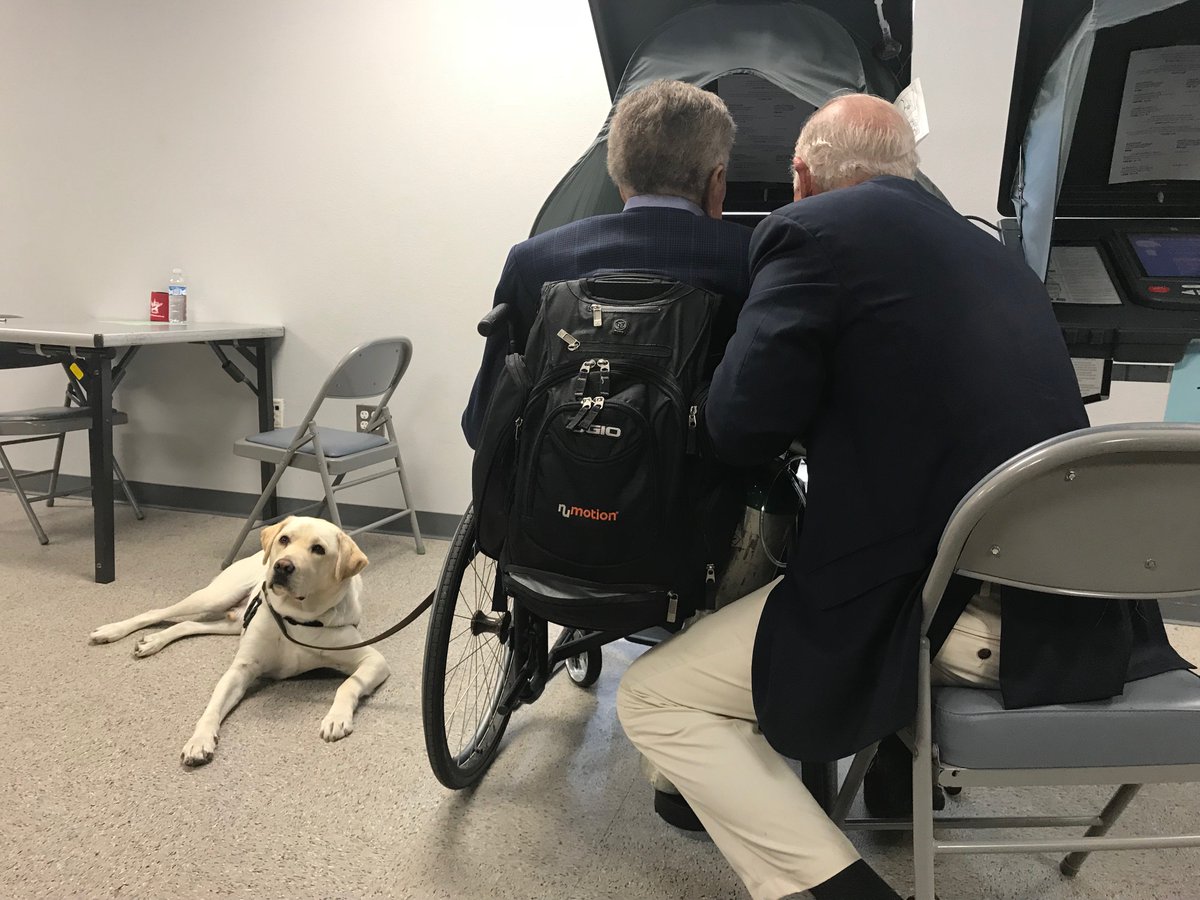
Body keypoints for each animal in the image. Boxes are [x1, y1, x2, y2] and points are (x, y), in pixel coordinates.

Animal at [90, 518, 388, 772]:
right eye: (285, 539)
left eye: (319, 549)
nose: (282, 566)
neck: (295, 618)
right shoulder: (241, 669)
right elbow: (212, 707)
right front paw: (199, 740)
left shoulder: (373, 660)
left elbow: (347, 684)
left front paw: (336, 718)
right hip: (214, 596)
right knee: (158, 612)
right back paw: (112, 631)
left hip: (234, 621)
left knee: (187, 625)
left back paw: (153, 640)